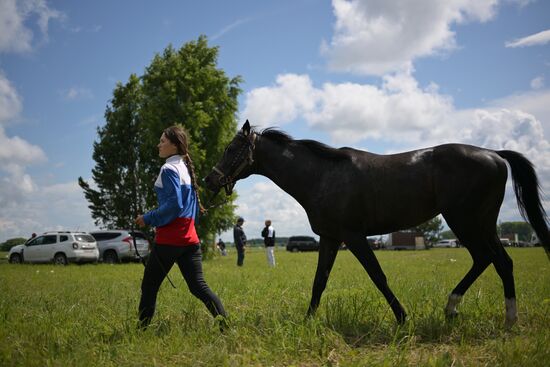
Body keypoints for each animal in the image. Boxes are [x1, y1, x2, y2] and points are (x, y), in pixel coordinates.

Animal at [205, 121, 548, 328]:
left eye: (231, 149)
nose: (210, 180)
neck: (322, 175)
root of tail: (493, 154)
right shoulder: (330, 238)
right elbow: (319, 281)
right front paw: (307, 321)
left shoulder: (354, 237)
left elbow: (378, 276)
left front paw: (402, 317)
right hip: (481, 224)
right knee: (497, 261)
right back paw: (486, 315)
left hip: (466, 222)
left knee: (491, 259)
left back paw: (480, 313)